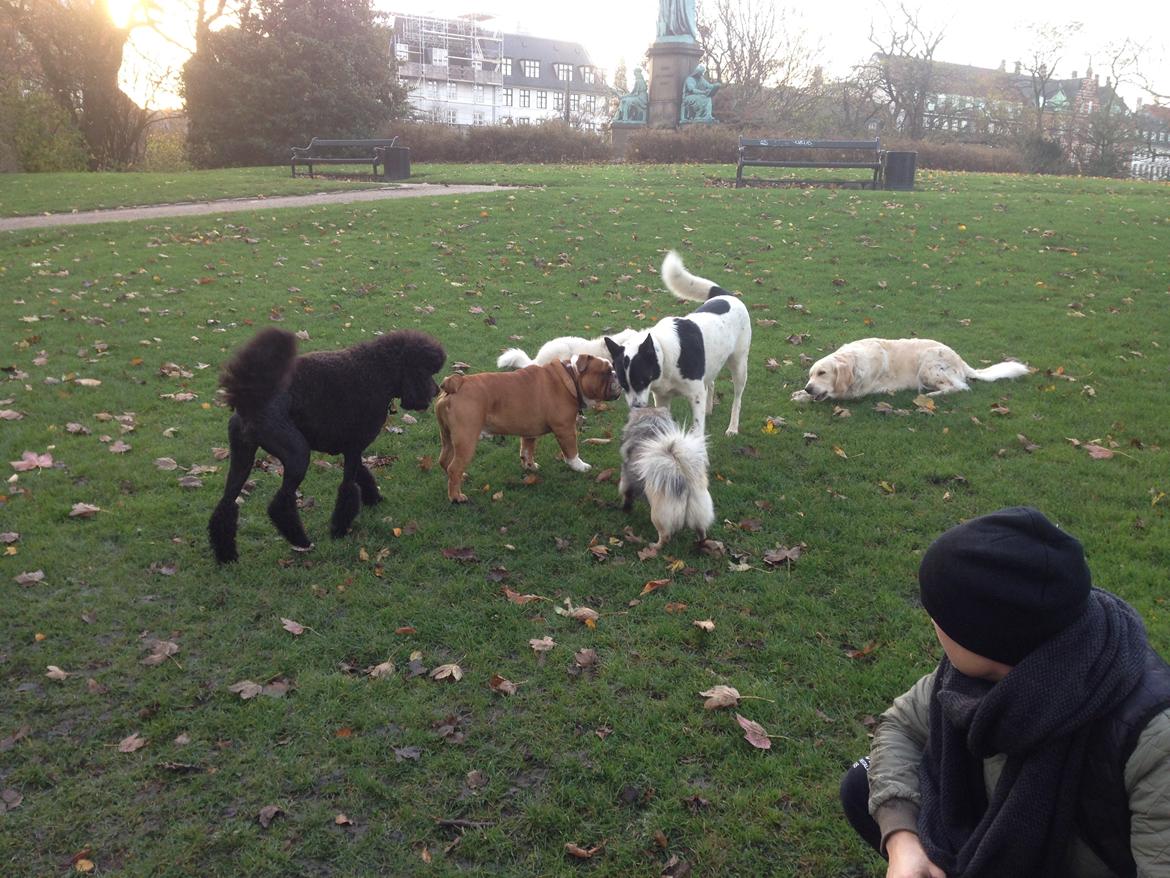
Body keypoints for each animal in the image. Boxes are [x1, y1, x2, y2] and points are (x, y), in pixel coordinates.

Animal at [603, 250, 748, 437]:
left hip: (739, 365)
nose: (636, 408)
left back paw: (733, 427)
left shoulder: (696, 395)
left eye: (641, 382)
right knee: (711, 382)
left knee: (737, 398)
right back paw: (709, 409)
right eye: (623, 385)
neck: (664, 355)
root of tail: (727, 295)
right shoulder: (662, 398)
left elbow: (697, 427)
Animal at [790, 339, 1029, 405]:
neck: (853, 362)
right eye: (810, 375)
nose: (808, 388)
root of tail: (960, 359)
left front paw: (802, 397)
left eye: (823, 373)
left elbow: (831, 395)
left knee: (960, 387)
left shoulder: (854, 392)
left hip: (928, 367)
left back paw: (933, 394)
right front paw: (800, 393)